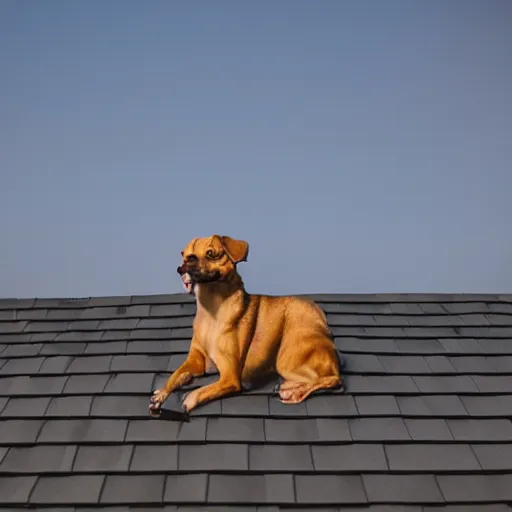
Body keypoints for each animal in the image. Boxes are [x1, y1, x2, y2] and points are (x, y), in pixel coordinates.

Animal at [149, 234, 344, 414]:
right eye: (187, 256)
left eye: (211, 254)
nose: (182, 267)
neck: (210, 310)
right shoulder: (194, 362)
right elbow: (175, 375)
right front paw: (161, 394)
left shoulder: (230, 377)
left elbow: (203, 390)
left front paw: (188, 398)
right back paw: (286, 387)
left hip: (287, 358)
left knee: (332, 379)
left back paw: (294, 392)